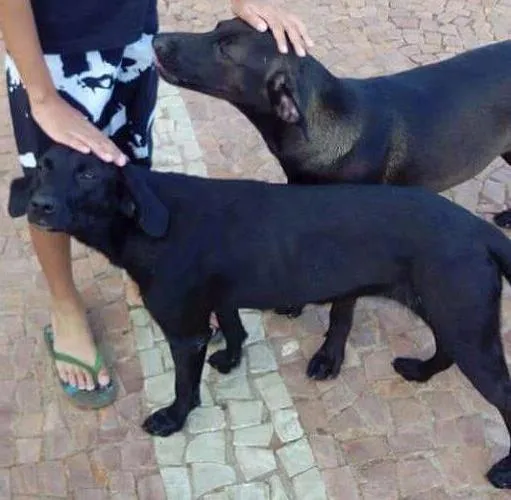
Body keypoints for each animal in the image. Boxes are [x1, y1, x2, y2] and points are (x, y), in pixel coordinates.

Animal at [7, 145, 511, 488]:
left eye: (89, 172)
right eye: (44, 166)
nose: (39, 205)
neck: (149, 220)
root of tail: (478, 228)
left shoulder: (185, 330)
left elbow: (185, 387)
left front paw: (173, 419)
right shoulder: (221, 298)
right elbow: (234, 329)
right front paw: (231, 360)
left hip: (467, 327)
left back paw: (503, 468)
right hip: (453, 316)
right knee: (444, 351)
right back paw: (420, 370)